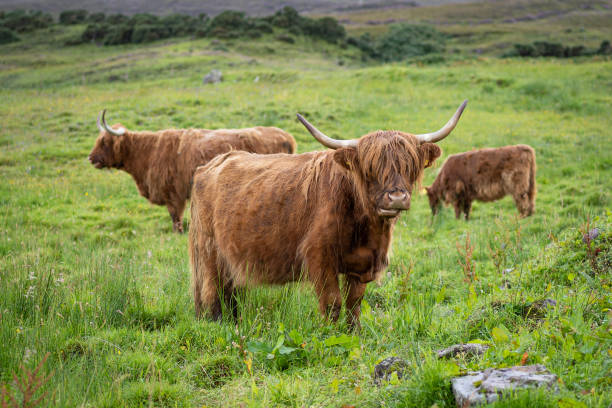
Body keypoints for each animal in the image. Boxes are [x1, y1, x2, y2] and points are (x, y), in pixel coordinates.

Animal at [89, 111, 298, 233]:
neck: (147, 153)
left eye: (104, 141)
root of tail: (286, 136)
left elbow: (175, 219)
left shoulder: (173, 194)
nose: (91, 158)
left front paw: (178, 233)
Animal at [189, 100, 466, 330]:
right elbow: (333, 303)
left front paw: (353, 332)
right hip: (210, 251)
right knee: (212, 291)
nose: (396, 198)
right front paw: (329, 335)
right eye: (370, 169)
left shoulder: (362, 264)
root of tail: (211, 165)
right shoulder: (320, 258)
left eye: (409, 166)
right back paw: (219, 325)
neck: (366, 229)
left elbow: (354, 304)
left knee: (230, 292)